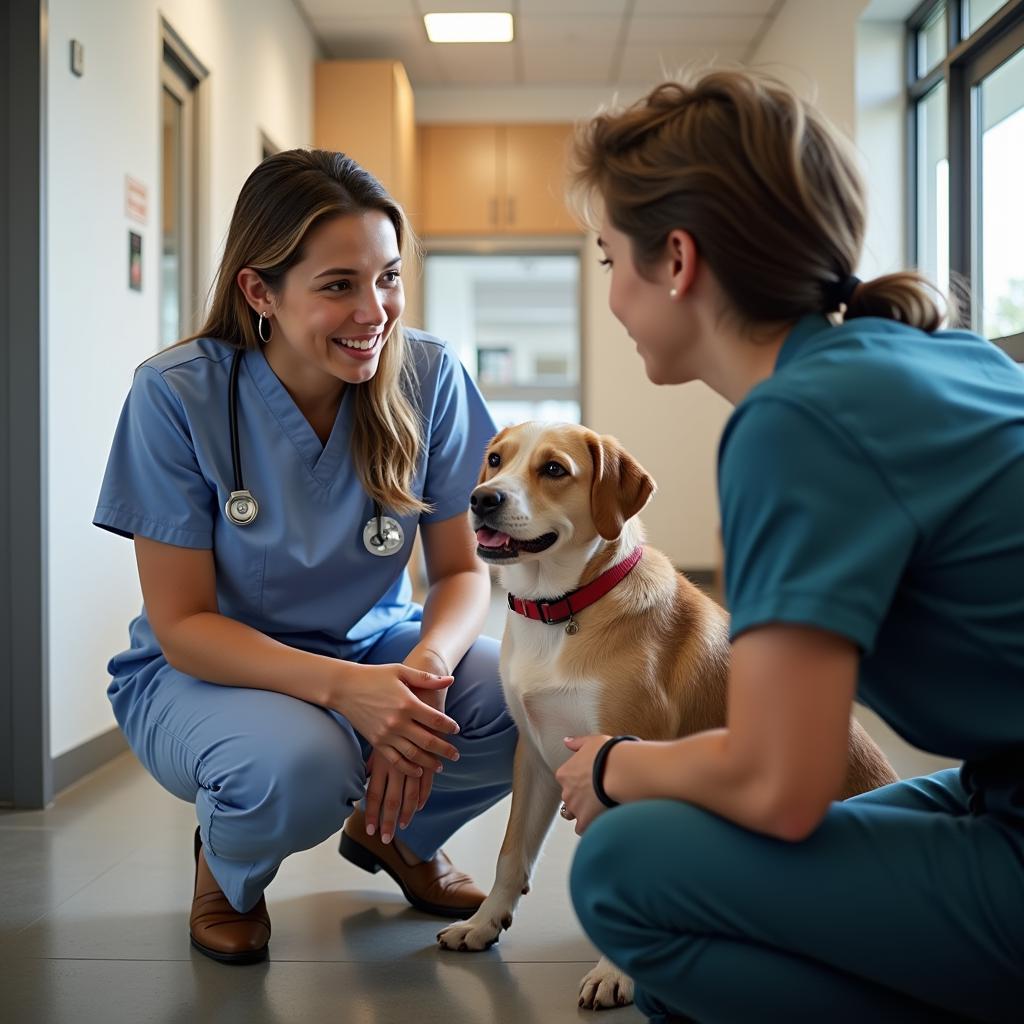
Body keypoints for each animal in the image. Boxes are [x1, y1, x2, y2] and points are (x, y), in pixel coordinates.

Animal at [436, 421, 901, 1007]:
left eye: (554, 470)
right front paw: (483, 923)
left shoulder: (623, 759)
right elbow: (510, 853)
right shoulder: (534, 758)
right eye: (496, 460)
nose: (482, 498)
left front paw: (615, 973)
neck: (565, 608)